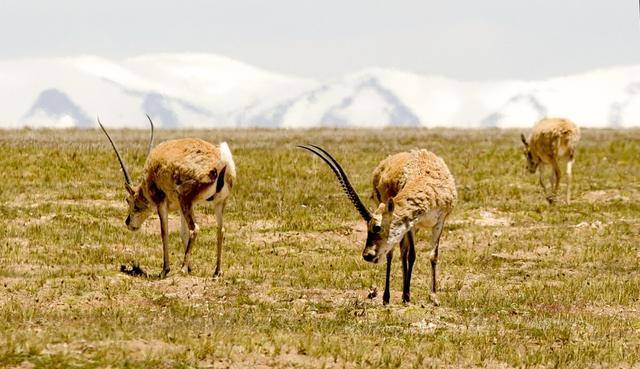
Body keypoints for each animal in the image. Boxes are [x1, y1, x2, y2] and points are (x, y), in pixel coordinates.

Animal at [96, 116, 234, 278]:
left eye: (130, 201)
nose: (128, 223)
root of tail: (221, 163)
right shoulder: (184, 207)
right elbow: (182, 233)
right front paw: (190, 268)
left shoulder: (162, 203)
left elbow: (164, 231)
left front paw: (165, 269)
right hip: (217, 203)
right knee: (220, 229)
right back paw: (217, 271)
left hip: (184, 198)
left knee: (195, 228)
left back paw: (181, 268)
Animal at [298, 144, 458, 304]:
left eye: (377, 227)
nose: (367, 255)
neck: (423, 175)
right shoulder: (411, 226)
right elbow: (412, 255)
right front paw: (407, 296)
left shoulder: (439, 222)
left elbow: (433, 256)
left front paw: (434, 296)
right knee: (393, 254)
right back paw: (387, 297)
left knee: (402, 251)